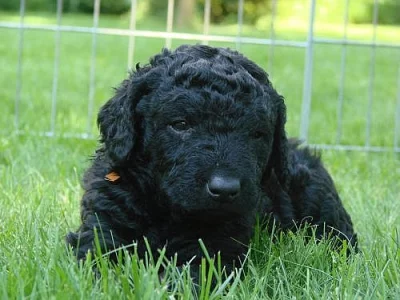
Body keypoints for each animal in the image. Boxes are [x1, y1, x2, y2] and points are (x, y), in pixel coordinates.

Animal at [65, 44, 356, 276]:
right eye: (181, 124)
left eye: (257, 134)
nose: (225, 189)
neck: (166, 209)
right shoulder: (102, 228)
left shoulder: (214, 247)